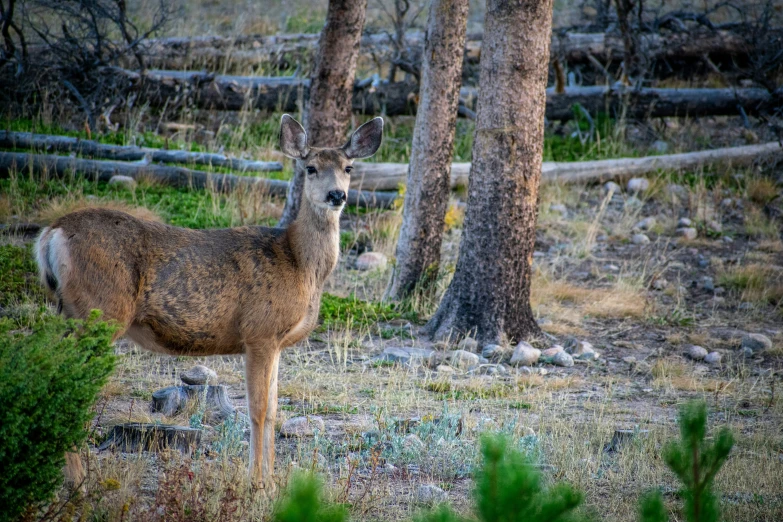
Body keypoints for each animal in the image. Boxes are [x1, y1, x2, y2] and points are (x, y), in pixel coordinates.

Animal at [35, 114, 384, 488]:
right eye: (311, 168)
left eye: (348, 167)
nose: (337, 195)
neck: (299, 263)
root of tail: (51, 233)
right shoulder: (259, 331)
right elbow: (258, 410)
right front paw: (257, 483)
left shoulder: (276, 342)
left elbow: (275, 411)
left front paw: (273, 482)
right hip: (99, 310)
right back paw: (77, 479)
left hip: (72, 312)